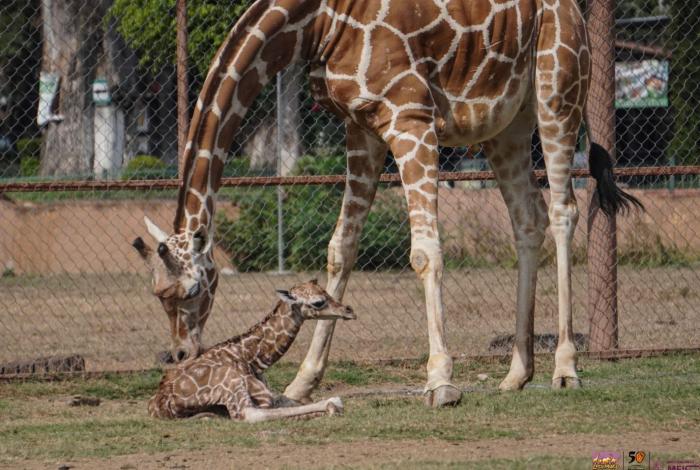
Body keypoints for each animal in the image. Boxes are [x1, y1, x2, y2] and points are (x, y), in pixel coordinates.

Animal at [147, 279, 354, 421]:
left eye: (326, 292)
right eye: (319, 302)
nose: (349, 310)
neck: (249, 357)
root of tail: (164, 405)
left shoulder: (271, 394)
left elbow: (293, 401)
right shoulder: (264, 396)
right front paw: (332, 405)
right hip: (231, 383)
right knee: (250, 414)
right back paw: (333, 404)